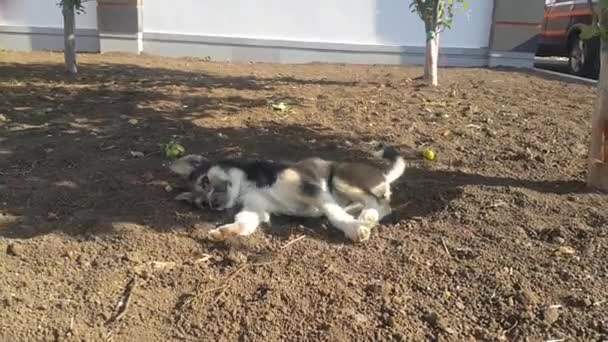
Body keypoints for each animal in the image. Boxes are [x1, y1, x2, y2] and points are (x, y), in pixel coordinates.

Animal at [167, 143, 404, 242]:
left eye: (205, 180)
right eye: (202, 204)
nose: (213, 204)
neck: (247, 186)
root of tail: (383, 174)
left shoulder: (311, 188)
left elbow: (334, 213)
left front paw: (353, 229)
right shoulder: (255, 209)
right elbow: (244, 224)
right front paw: (225, 232)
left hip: (340, 178)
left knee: (382, 203)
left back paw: (368, 216)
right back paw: (365, 215)